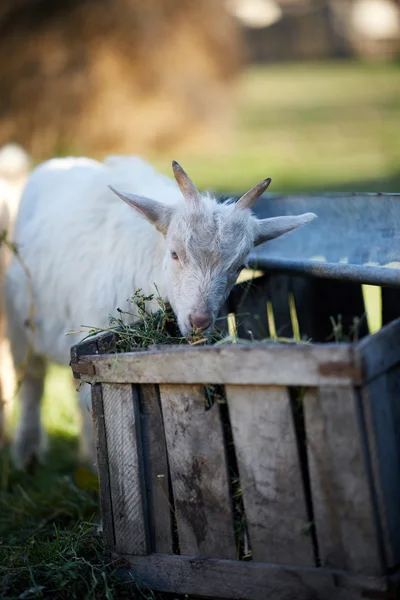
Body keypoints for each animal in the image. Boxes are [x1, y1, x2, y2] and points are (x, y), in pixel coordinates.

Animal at [5, 156, 316, 474]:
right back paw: (27, 455)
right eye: (175, 253)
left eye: (239, 266)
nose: (199, 321)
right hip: (20, 324)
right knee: (32, 382)